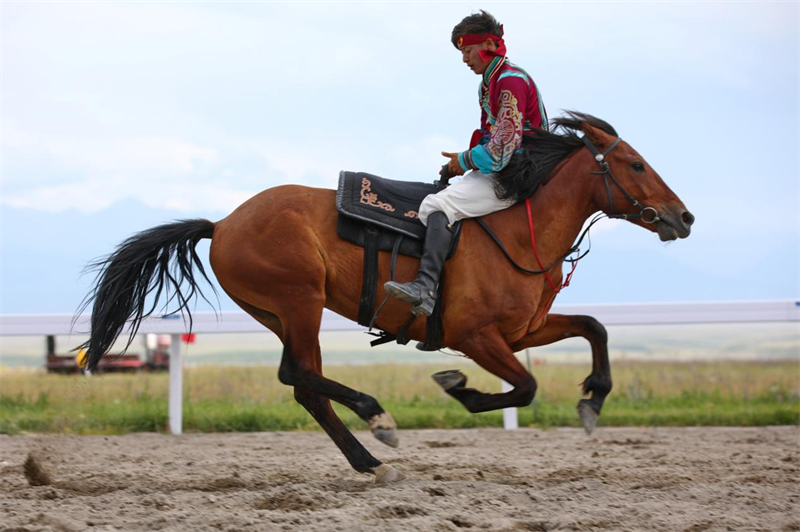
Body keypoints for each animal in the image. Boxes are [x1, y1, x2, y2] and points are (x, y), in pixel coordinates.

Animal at [79, 112, 692, 482]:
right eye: (635, 163)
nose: (683, 216)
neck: (517, 227)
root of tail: (223, 223)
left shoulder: (521, 331)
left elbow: (593, 327)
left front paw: (593, 399)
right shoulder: (476, 336)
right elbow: (525, 386)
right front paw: (459, 388)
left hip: (282, 313)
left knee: (303, 384)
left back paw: (370, 460)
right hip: (300, 302)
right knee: (299, 375)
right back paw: (377, 420)